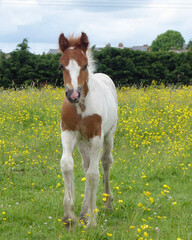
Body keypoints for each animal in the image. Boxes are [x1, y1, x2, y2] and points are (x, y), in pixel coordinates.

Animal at [58, 32, 118, 229]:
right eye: (61, 65)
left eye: (84, 65)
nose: (73, 95)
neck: (81, 106)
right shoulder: (67, 133)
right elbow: (67, 164)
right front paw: (70, 216)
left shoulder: (96, 137)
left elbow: (93, 174)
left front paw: (92, 219)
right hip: (82, 141)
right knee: (85, 165)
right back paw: (83, 211)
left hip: (109, 135)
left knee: (105, 163)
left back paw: (107, 203)